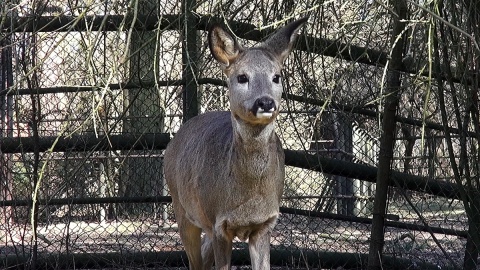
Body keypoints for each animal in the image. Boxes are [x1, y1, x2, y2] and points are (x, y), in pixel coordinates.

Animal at [164, 17, 308, 268]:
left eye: (276, 77)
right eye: (242, 77)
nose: (265, 102)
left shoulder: (264, 225)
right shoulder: (219, 223)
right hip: (182, 210)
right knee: (195, 260)